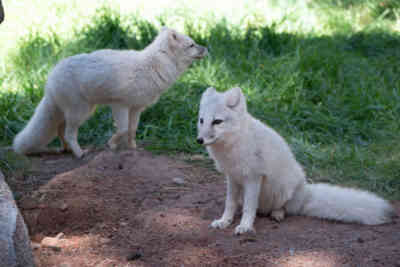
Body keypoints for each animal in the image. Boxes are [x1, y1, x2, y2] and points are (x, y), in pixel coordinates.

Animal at [14, 27, 208, 158]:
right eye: (192, 45)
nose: (207, 49)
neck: (153, 65)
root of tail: (50, 79)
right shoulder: (119, 105)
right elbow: (122, 129)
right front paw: (112, 145)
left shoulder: (136, 108)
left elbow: (132, 130)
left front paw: (133, 148)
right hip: (81, 112)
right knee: (69, 133)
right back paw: (79, 153)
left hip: (74, 112)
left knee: (61, 130)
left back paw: (66, 150)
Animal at [195, 87, 396, 236]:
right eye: (202, 120)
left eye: (217, 122)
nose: (199, 140)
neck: (233, 143)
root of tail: (306, 192)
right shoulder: (232, 177)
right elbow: (229, 204)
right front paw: (224, 221)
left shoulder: (253, 177)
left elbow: (249, 208)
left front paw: (245, 227)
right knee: (247, 205)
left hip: (284, 190)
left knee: (281, 208)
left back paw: (277, 214)